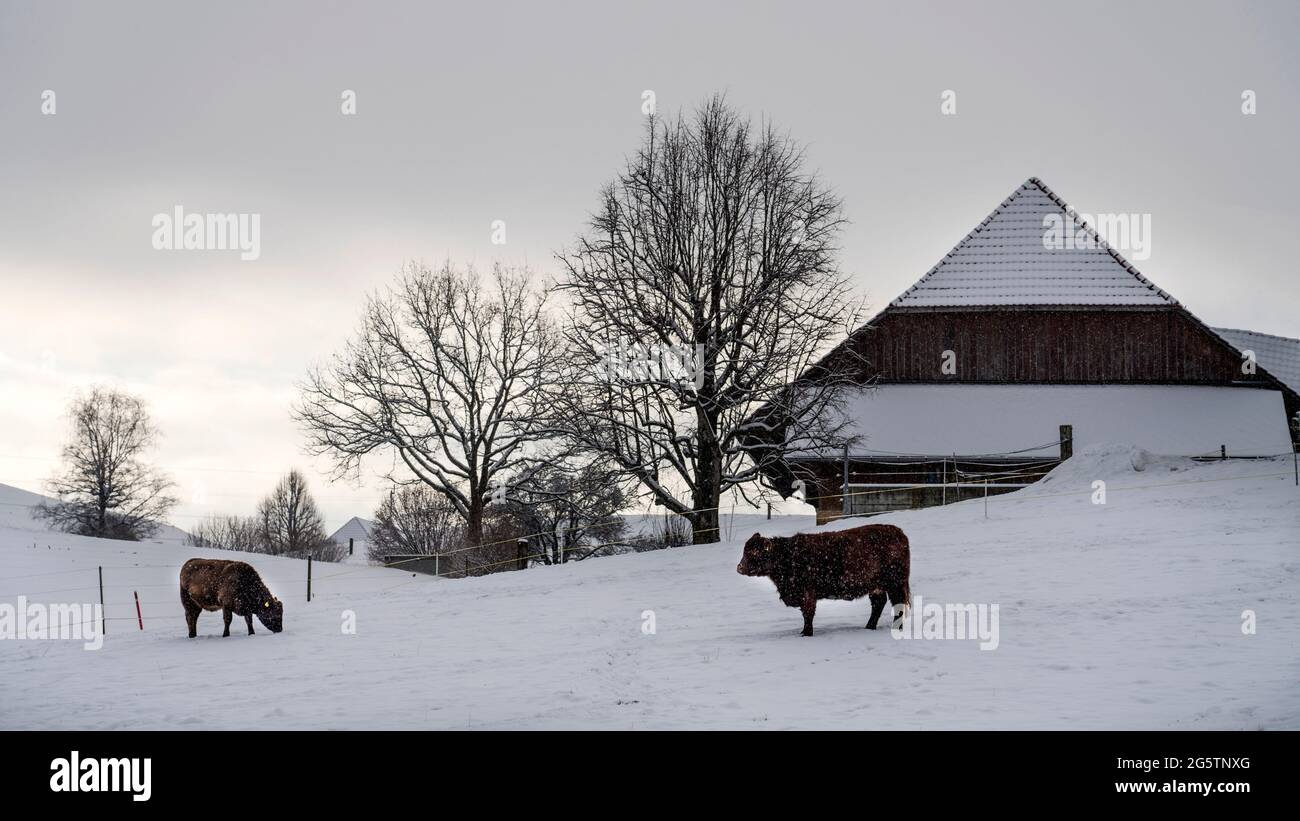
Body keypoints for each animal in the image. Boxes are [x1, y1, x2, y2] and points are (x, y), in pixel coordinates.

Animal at [738, 522, 909, 639]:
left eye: (754, 553)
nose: (739, 568)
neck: (787, 556)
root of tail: (898, 531)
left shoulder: (807, 595)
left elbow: (808, 615)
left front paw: (806, 633)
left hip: (895, 583)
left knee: (898, 604)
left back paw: (895, 628)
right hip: (877, 586)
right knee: (878, 603)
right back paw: (869, 627)